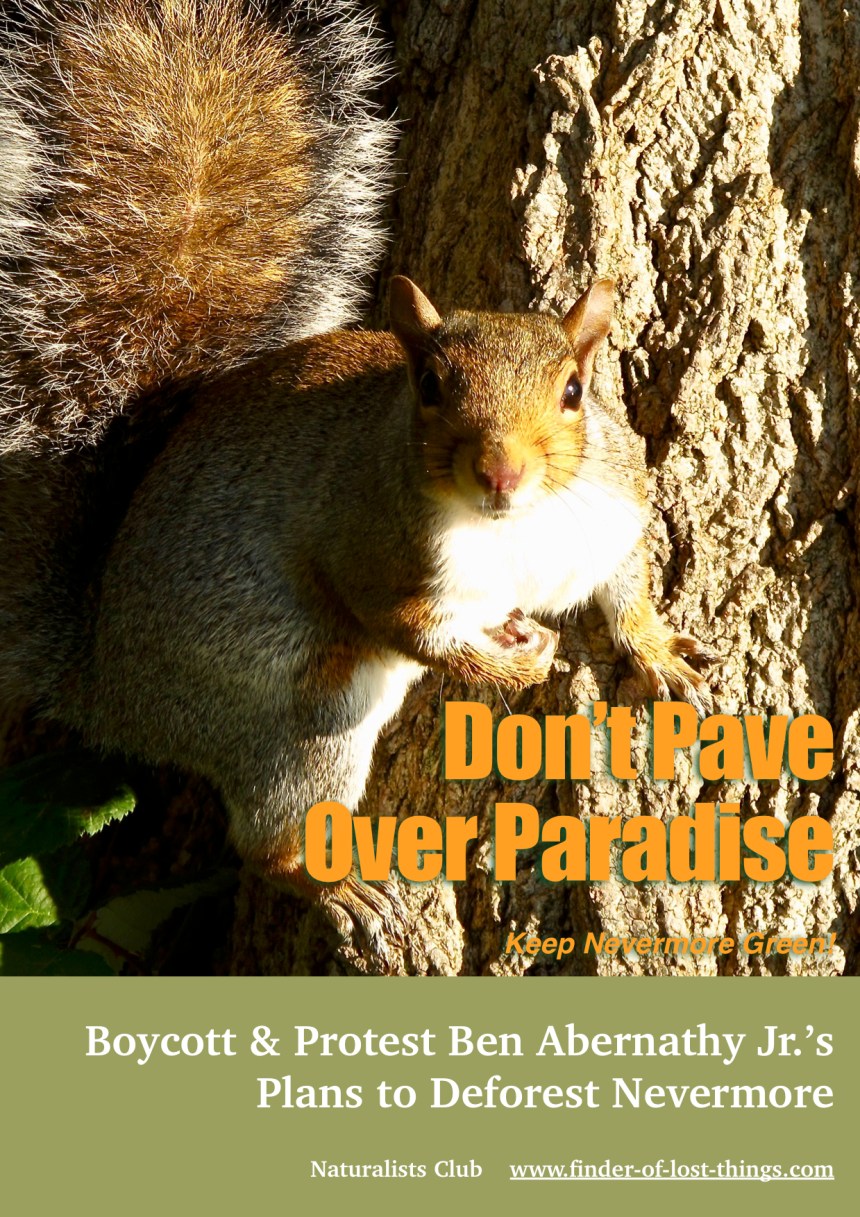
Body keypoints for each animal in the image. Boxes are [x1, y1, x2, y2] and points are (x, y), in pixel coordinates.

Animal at [0, 0, 711, 959]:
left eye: (574, 391)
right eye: (430, 386)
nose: (500, 470)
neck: (517, 526)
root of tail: (107, 682)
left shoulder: (611, 511)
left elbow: (626, 585)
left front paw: (655, 649)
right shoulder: (374, 548)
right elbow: (404, 625)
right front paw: (506, 667)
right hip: (294, 711)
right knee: (271, 836)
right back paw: (340, 884)